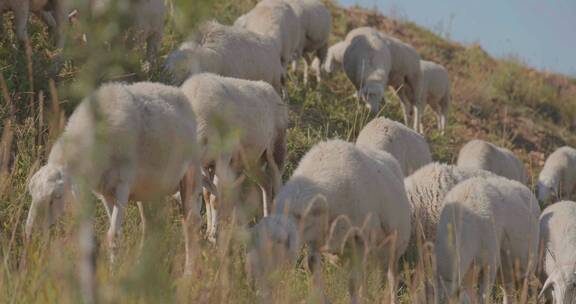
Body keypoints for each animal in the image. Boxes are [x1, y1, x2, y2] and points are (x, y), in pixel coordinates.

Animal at [26, 81, 202, 274]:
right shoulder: (106, 193)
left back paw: (188, 272)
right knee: (151, 226)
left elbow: (113, 235)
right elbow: (115, 232)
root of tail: (174, 90)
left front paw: (112, 272)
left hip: (191, 175)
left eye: (56, 197)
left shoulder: (122, 186)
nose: (30, 233)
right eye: (31, 194)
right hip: (150, 190)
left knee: (190, 224)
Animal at [180, 73, 288, 242]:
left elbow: (214, 199)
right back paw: (266, 221)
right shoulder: (205, 164)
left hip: (276, 151)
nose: (190, 227)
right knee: (266, 183)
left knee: (277, 184)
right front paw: (208, 232)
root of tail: (271, 90)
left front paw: (213, 236)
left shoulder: (223, 157)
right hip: (251, 162)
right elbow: (207, 195)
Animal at [246, 140, 410, 304]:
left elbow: (353, 282)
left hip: (395, 242)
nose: (256, 285)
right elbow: (313, 268)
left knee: (391, 277)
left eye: (278, 242)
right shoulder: (316, 239)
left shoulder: (359, 237)